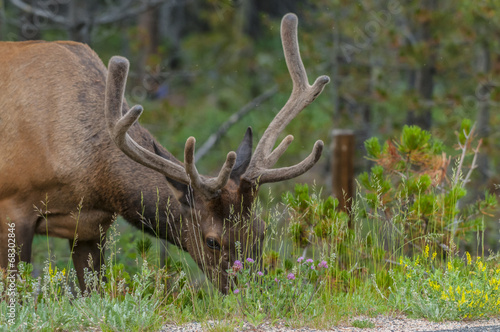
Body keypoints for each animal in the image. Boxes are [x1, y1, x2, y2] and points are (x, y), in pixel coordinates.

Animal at [0, 13, 330, 294]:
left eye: (261, 230)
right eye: (212, 241)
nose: (252, 293)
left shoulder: (90, 227)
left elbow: (92, 291)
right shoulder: (14, 207)